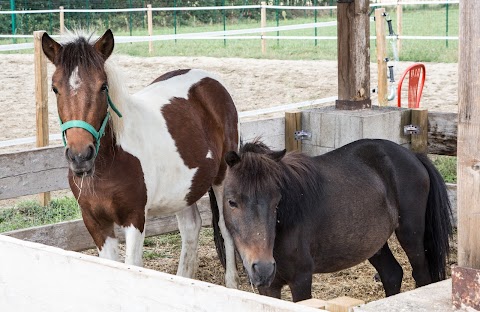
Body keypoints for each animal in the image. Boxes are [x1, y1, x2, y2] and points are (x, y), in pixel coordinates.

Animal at [42, 29, 240, 288]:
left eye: (103, 86)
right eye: (55, 88)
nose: (80, 156)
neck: (109, 164)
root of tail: (209, 80)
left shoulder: (134, 219)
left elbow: (132, 267)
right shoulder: (95, 223)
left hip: (221, 180)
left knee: (226, 229)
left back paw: (232, 284)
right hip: (184, 191)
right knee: (190, 227)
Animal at [223, 138, 452, 300]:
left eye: (276, 201)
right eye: (232, 202)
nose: (262, 268)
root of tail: (412, 155)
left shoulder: (301, 279)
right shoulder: (269, 287)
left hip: (411, 235)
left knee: (422, 277)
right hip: (374, 244)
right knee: (392, 274)